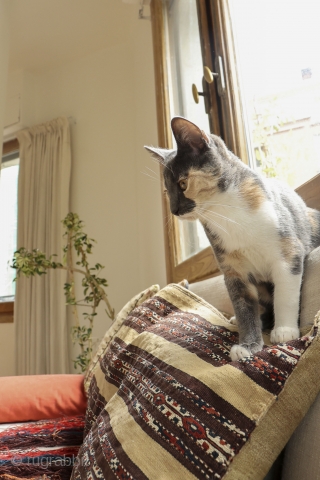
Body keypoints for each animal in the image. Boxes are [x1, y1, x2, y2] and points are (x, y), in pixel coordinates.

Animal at [145, 117, 320, 360]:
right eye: (166, 191)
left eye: (182, 183)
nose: (174, 210)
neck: (226, 212)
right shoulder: (233, 270)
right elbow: (244, 306)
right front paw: (248, 344)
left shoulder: (288, 252)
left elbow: (286, 293)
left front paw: (285, 330)